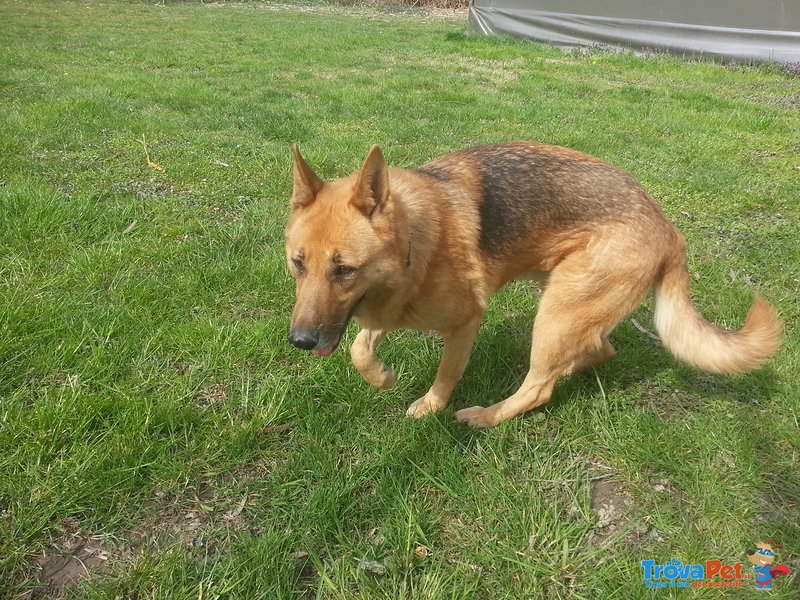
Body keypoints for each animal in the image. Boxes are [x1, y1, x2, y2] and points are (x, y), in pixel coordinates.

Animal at [282, 142, 780, 426]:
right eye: (297, 265)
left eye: (344, 270)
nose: (300, 342)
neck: (416, 239)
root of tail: (669, 228)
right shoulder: (385, 308)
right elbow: (359, 346)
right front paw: (381, 375)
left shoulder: (464, 322)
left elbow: (445, 374)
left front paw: (430, 407)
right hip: (561, 302)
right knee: (598, 350)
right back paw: (574, 368)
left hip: (558, 311)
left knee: (540, 387)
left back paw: (486, 417)